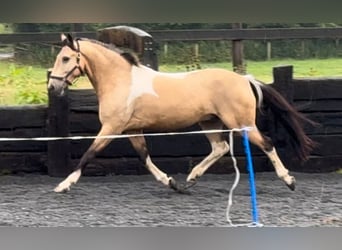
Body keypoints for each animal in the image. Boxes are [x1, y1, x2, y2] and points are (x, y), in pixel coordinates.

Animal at [48, 33, 316, 193]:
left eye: (66, 58)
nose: (52, 87)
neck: (121, 80)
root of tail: (243, 79)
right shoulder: (132, 129)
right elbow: (144, 157)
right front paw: (171, 182)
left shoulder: (112, 128)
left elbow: (88, 154)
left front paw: (63, 185)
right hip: (209, 122)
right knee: (220, 148)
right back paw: (191, 178)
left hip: (241, 123)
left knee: (267, 144)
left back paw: (289, 181)